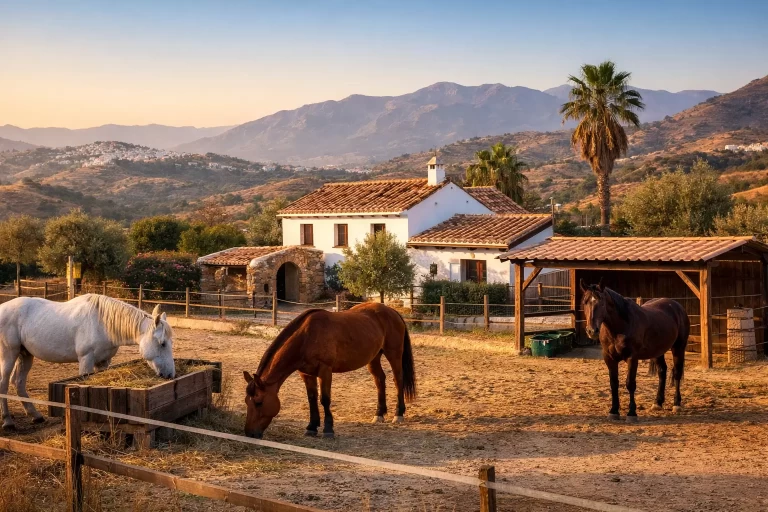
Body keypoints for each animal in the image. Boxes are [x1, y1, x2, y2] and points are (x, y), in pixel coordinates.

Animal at [0, 294, 175, 430]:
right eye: (162, 343)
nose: (170, 375)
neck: (103, 323)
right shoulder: (86, 360)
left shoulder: (103, 362)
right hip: (9, 354)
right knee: (4, 384)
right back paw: (8, 422)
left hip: (25, 355)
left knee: (18, 382)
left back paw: (36, 416)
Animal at [242, 302, 416, 439]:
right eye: (246, 402)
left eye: (258, 402)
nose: (250, 433)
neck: (306, 337)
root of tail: (392, 311)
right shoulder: (306, 374)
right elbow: (311, 399)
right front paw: (311, 427)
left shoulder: (325, 371)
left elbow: (324, 399)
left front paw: (328, 429)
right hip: (373, 358)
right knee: (380, 380)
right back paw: (379, 413)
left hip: (394, 354)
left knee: (398, 380)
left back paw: (398, 414)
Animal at [580, 279, 689, 422]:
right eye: (585, 302)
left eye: (601, 302)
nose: (592, 331)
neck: (620, 326)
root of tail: (677, 306)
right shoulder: (609, 358)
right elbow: (614, 383)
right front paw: (614, 411)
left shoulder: (632, 358)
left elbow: (630, 383)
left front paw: (632, 413)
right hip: (658, 351)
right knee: (662, 372)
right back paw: (657, 403)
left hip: (678, 348)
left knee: (677, 373)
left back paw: (676, 404)